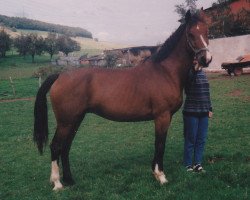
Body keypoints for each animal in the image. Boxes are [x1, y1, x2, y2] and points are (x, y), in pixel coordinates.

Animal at [34, 9, 212, 191]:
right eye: (190, 34)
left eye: (207, 32)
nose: (206, 59)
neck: (165, 72)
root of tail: (60, 75)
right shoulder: (162, 116)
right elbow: (160, 144)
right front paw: (161, 176)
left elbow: (158, 144)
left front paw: (155, 173)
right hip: (66, 121)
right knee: (56, 146)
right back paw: (57, 183)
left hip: (75, 119)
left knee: (66, 147)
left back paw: (69, 179)